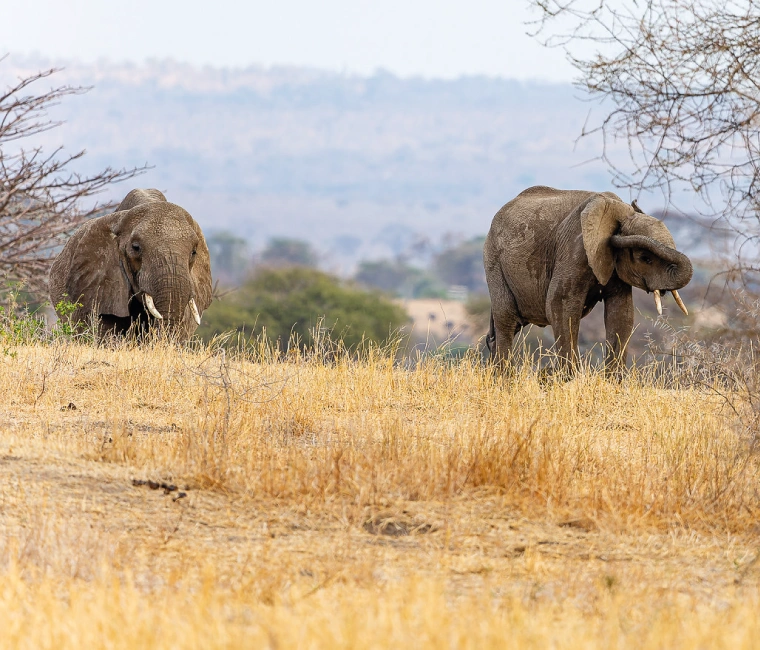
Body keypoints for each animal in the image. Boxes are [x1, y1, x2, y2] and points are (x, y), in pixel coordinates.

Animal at [483, 186, 693, 373]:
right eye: (645, 258)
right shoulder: (575, 250)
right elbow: (560, 306)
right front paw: (570, 379)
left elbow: (621, 314)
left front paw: (614, 382)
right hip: (494, 261)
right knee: (507, 320)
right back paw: (504, 379)